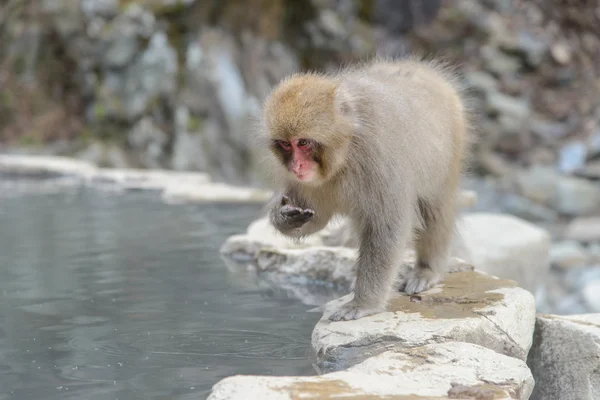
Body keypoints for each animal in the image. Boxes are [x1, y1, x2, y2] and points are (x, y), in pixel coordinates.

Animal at [255, 57, 472, 322]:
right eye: (286, 144)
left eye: (303, 142)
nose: (296, 165)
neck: (346, 150)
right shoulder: (299, 181)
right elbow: (316, 218)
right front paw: (285, 217)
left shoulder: (379, 158)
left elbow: (387, 227)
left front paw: (364, 303)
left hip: (451, 147)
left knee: (434, 208)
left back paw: (427, 270)